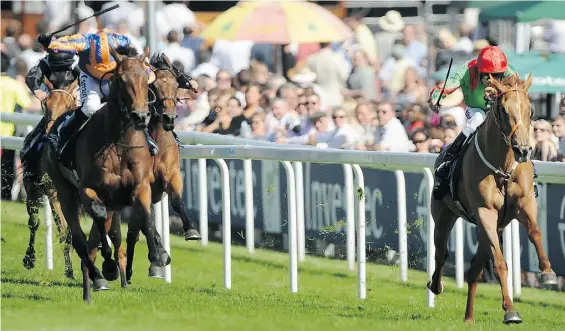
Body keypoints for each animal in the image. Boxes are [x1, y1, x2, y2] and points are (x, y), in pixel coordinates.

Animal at [22, 79, 78, 282]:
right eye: (45, 104)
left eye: (68, 105)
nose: (48, 133)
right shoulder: (54, 193)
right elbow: (64, 231)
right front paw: (69, 271)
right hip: (32, 188)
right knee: (33, 222)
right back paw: (29, 259)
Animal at [46, 47, 163, 304]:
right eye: (120, 79)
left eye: (146, 77)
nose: (141, 116)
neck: (118, 142)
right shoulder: (88, 190)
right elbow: (98, 224)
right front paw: (108, 265)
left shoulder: (140, 186)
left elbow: (146, 216)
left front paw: (157, 257)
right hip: (64, 193)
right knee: (80, 240)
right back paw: (95, 280)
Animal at [428, 74, 556, 326]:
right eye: (504, 110)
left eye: (531, 110)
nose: (524, 150)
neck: (503, 167)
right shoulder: (485, 211)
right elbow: (500, 263)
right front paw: (510, 310)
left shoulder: (525, 203)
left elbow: (535, 232)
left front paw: (547, 273)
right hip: (445, 215)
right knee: (441, 252)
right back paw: (436, 285)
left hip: (494, 228)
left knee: (475, 269)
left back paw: (469, 317)